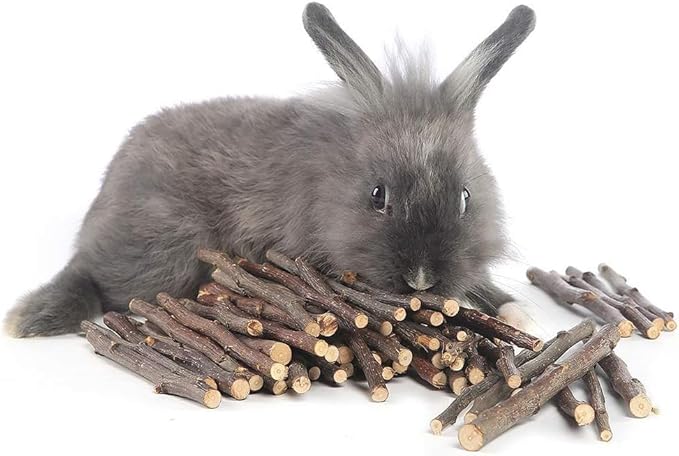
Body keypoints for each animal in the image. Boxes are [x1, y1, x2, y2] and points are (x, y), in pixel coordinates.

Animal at [5, 3, 539, 338]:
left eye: (466, 198)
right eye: (378, 196)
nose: (422, 279)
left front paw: (521, 313)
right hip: (161, 250)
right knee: (91, 272)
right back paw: (32, 317)